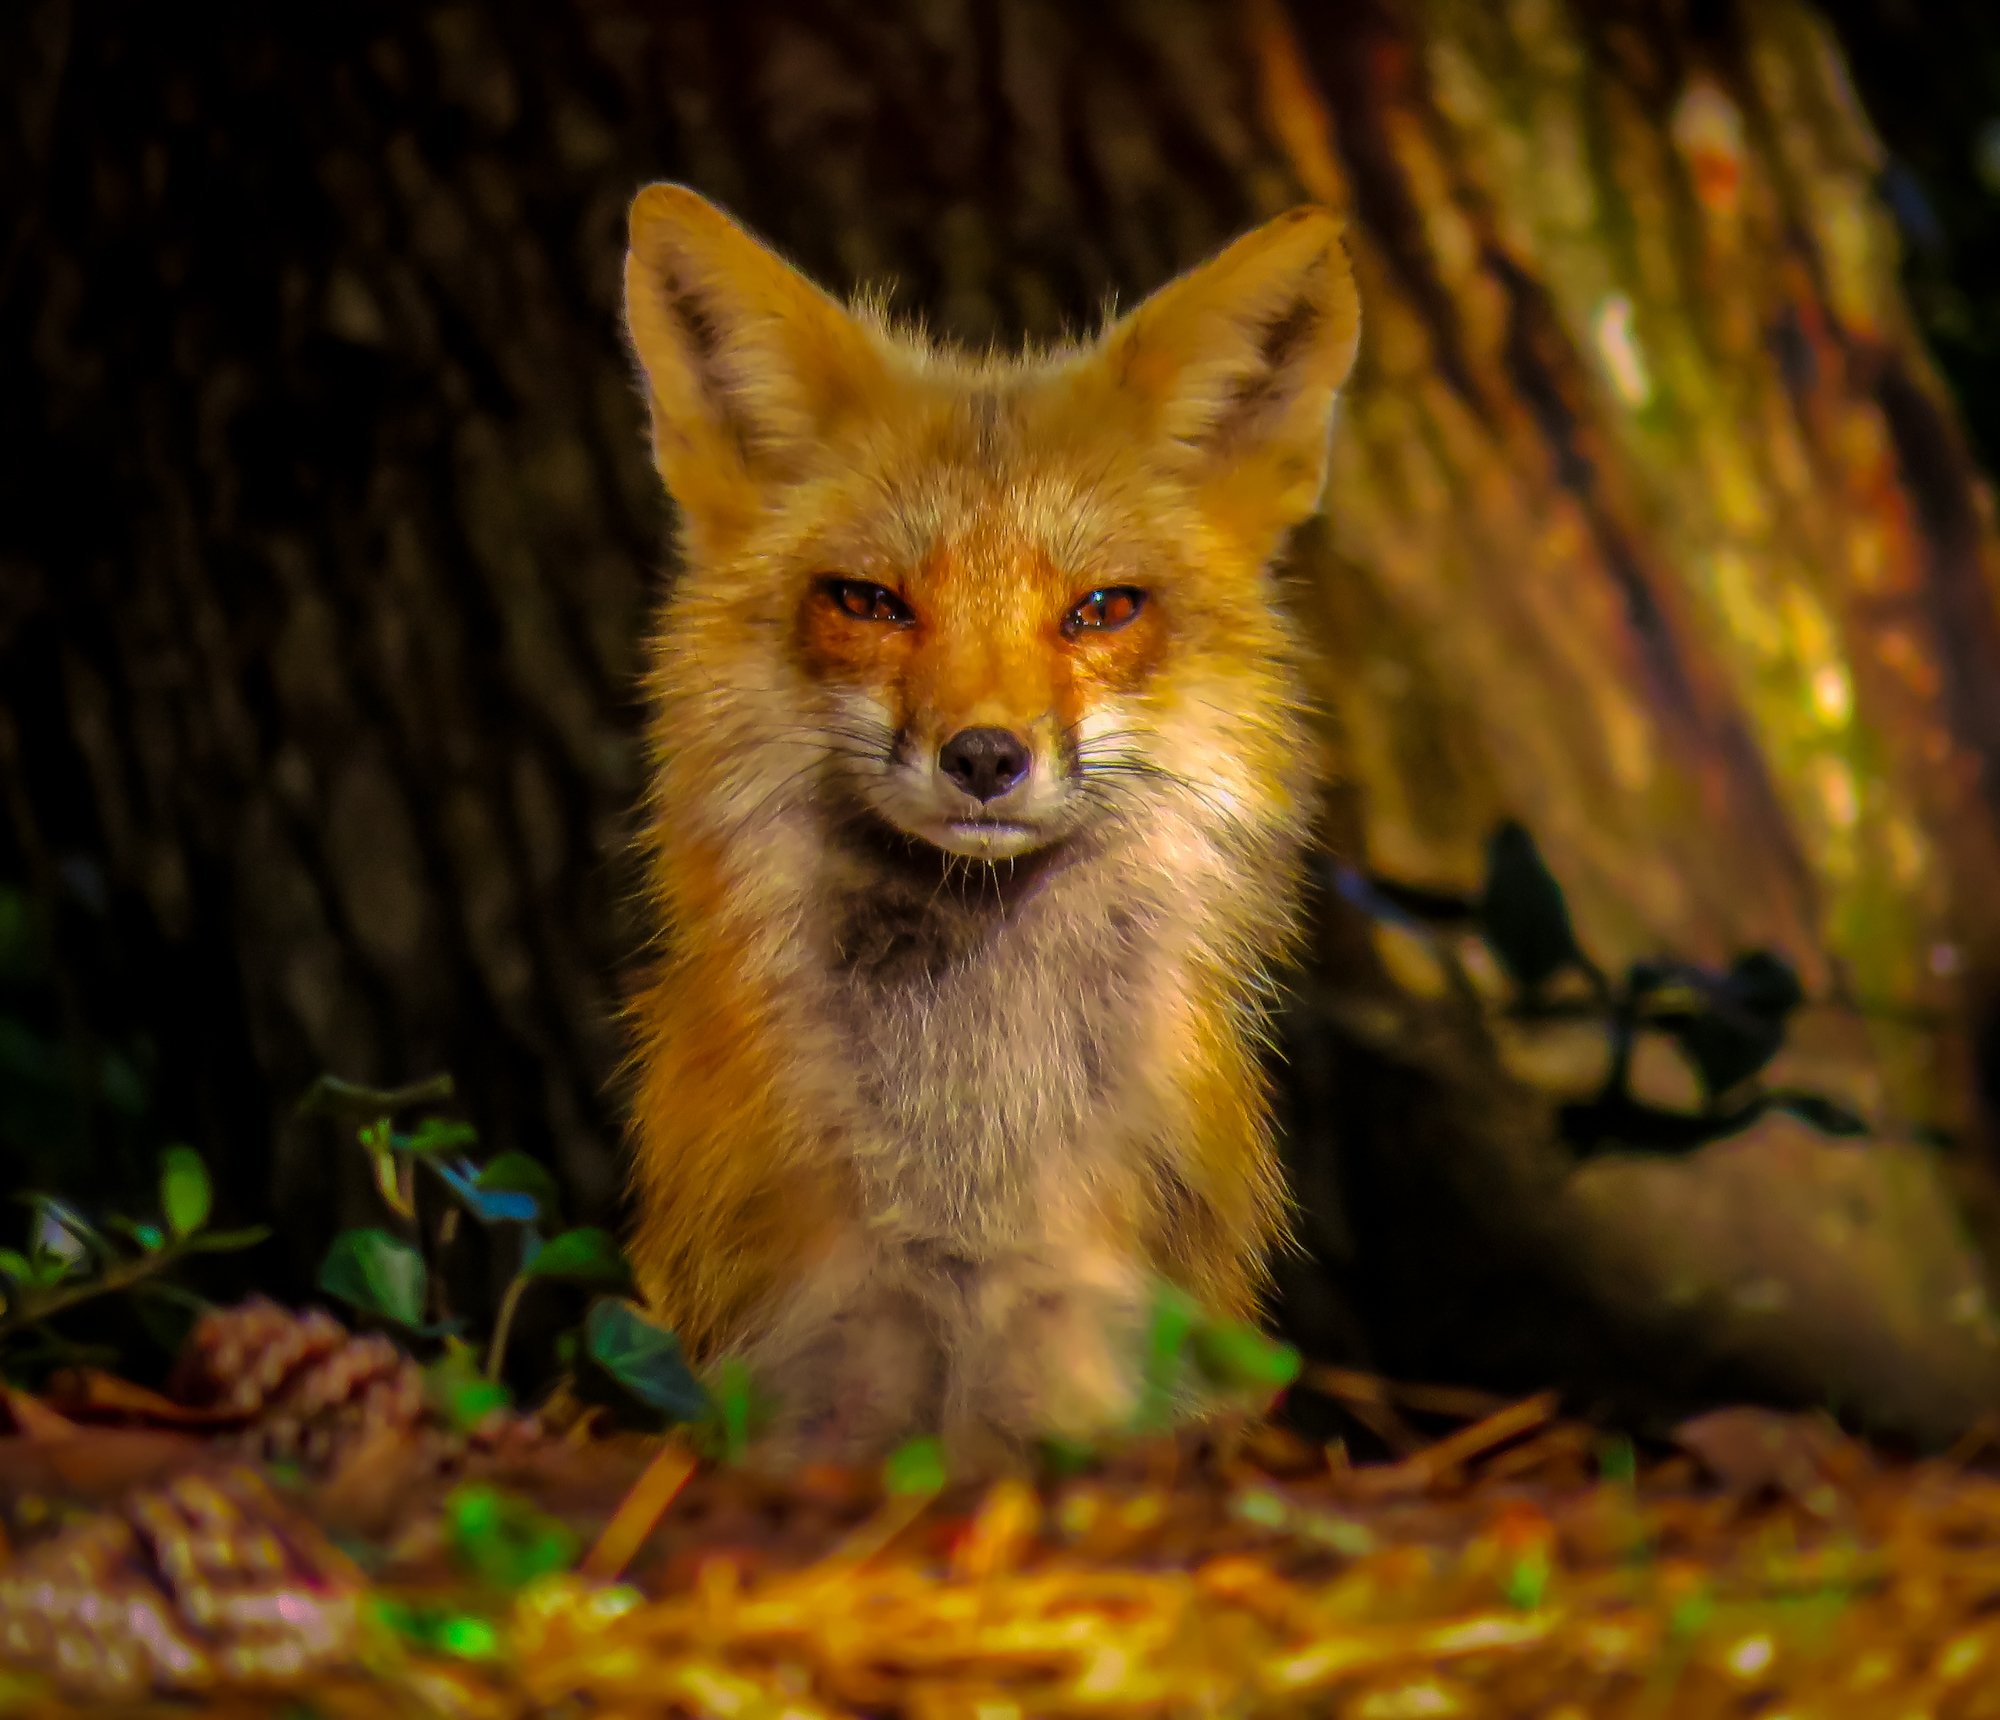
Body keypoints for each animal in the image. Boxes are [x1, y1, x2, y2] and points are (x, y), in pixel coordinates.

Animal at [619, 183, 1360, 1470]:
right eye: (867, 601)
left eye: (1101, 609)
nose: (982, 758)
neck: (959, 1232)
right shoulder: (810, 1372)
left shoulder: (1094, 1367)